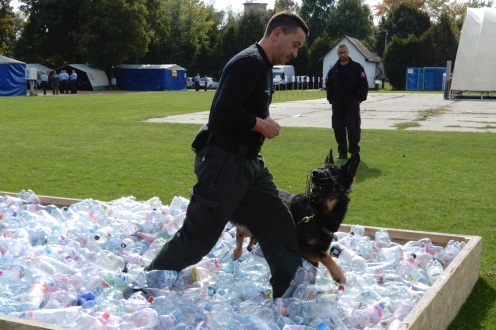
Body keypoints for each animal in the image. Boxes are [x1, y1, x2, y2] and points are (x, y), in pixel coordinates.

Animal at [232, 150, 360, 284]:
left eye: (334, 173)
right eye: (321, 168)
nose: (315, 172)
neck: (317, 213)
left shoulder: (313, 254)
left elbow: (317, 263)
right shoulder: (297, 245)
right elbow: (324, 255)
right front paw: (338, 273)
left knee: (245, 238)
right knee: (240, 232)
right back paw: (237, 252)